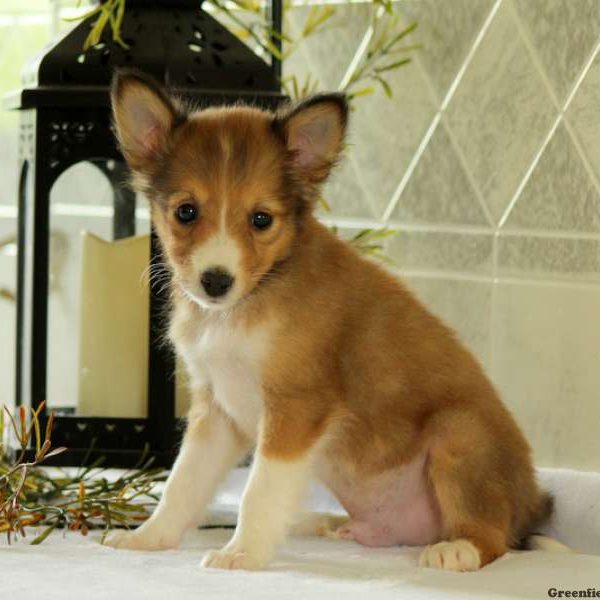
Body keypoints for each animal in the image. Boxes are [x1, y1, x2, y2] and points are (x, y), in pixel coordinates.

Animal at [105, 70, 556, 572]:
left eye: (261, 219)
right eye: (186, 211)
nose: (216, 281)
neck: (245, 306)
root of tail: (531, 509)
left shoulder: (295, 409)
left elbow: (258, 491)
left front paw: (242, 552)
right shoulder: (215, 412)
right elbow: (182, 484)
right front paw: (149, 538)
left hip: (459, 433)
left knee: (493, 538)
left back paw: (456, 549)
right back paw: (322, 524)